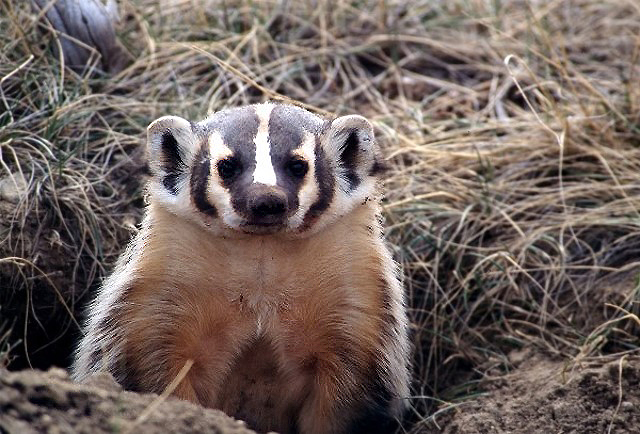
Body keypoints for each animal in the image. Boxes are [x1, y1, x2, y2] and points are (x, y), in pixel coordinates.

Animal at [73, 103, 410, 434]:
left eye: (298, 165)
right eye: (227, 166)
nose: (266, 200)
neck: (261, 253)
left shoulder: (354, 282)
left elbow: (348, 382)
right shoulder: (160, 276)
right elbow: (153, 356)